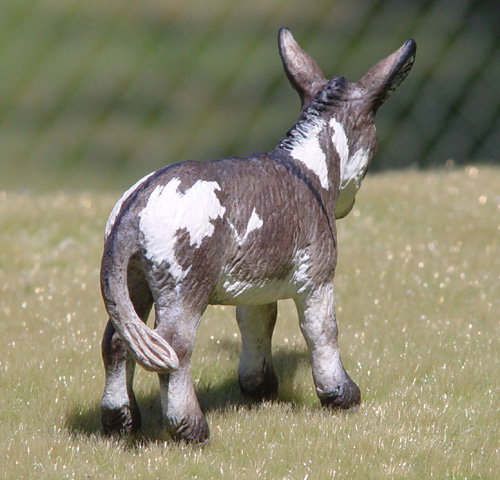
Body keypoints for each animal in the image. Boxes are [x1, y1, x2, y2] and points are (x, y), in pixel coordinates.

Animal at [99, 28, 416, 444]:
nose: (347, 206)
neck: (307, 167)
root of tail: (136, 210)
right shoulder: (317, 278)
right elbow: (322, 330)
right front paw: (341, 396)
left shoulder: (257, 282)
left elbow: (257, 323)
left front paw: (259, 388)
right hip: (184, 287)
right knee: (175, 349)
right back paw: (190, 430)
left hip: (133, 279)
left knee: (118, 342)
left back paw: (119, 422)